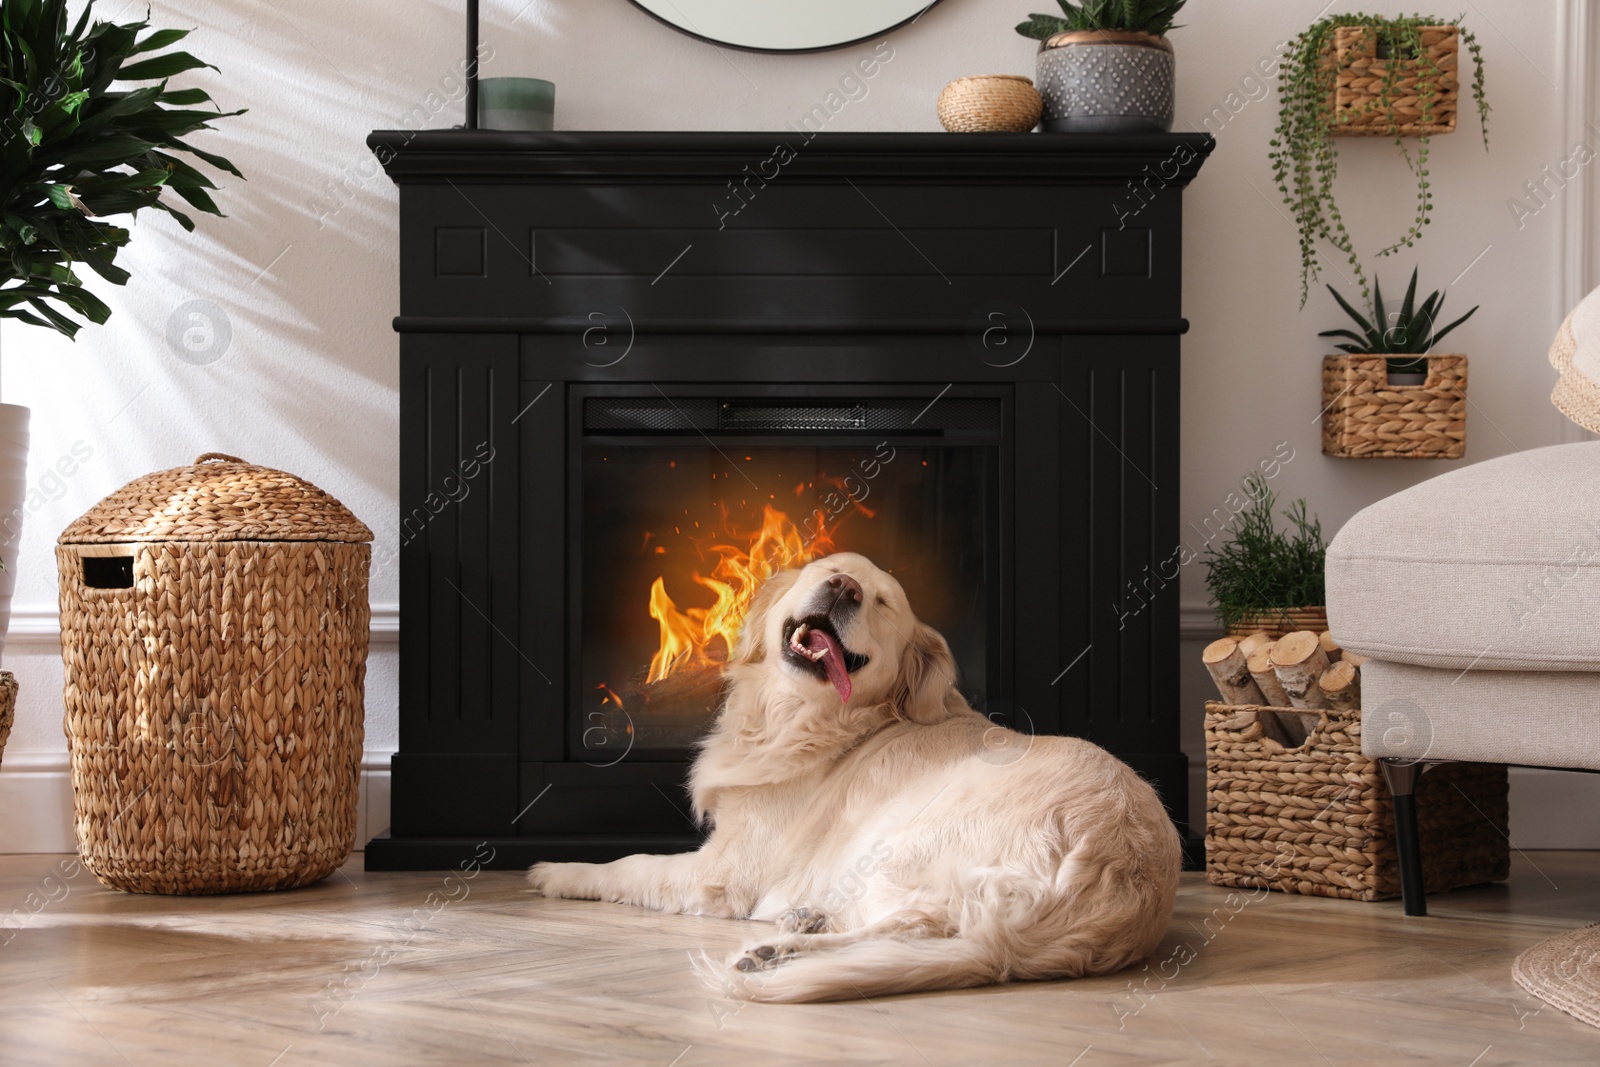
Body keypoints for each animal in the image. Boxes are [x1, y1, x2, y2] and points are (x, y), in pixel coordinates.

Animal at [531, 556, 1184, 1004]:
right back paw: (802, 925)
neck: (798, 719)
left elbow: (629, 863)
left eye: (882, 602)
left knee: (920, 924)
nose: (843, 588)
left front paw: (557, 873)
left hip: (906, 837)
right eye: (831, 569)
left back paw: (780, 950)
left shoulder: (722, 871)